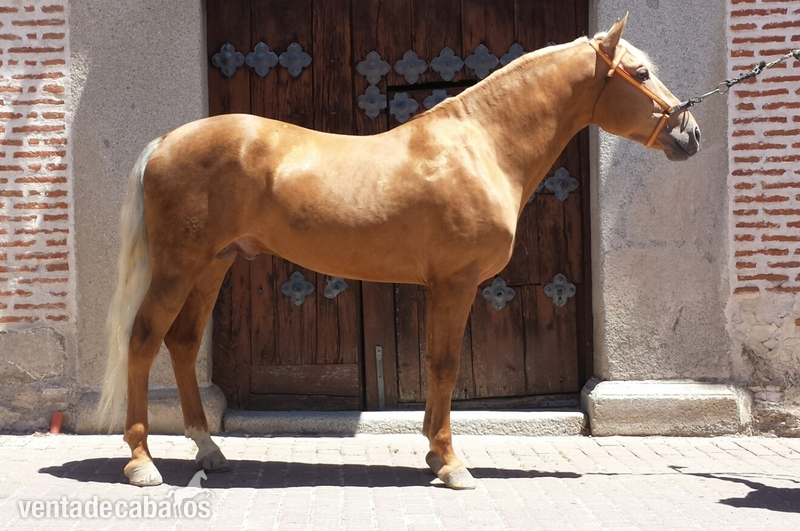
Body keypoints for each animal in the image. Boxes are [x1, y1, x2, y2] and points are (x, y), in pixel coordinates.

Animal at [99, 14, 700, 489]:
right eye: (641, 74)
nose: (690, 133)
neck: (480, 145)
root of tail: (166, 143)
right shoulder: (456, 283)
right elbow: (445, 365)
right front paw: (453, 465)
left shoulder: (442, 286)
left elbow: (436, 364)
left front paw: (435, 455)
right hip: (180, 267)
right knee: (144, 340)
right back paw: (141, 462)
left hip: (213, 265)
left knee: (181, 343)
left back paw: (209, 450)